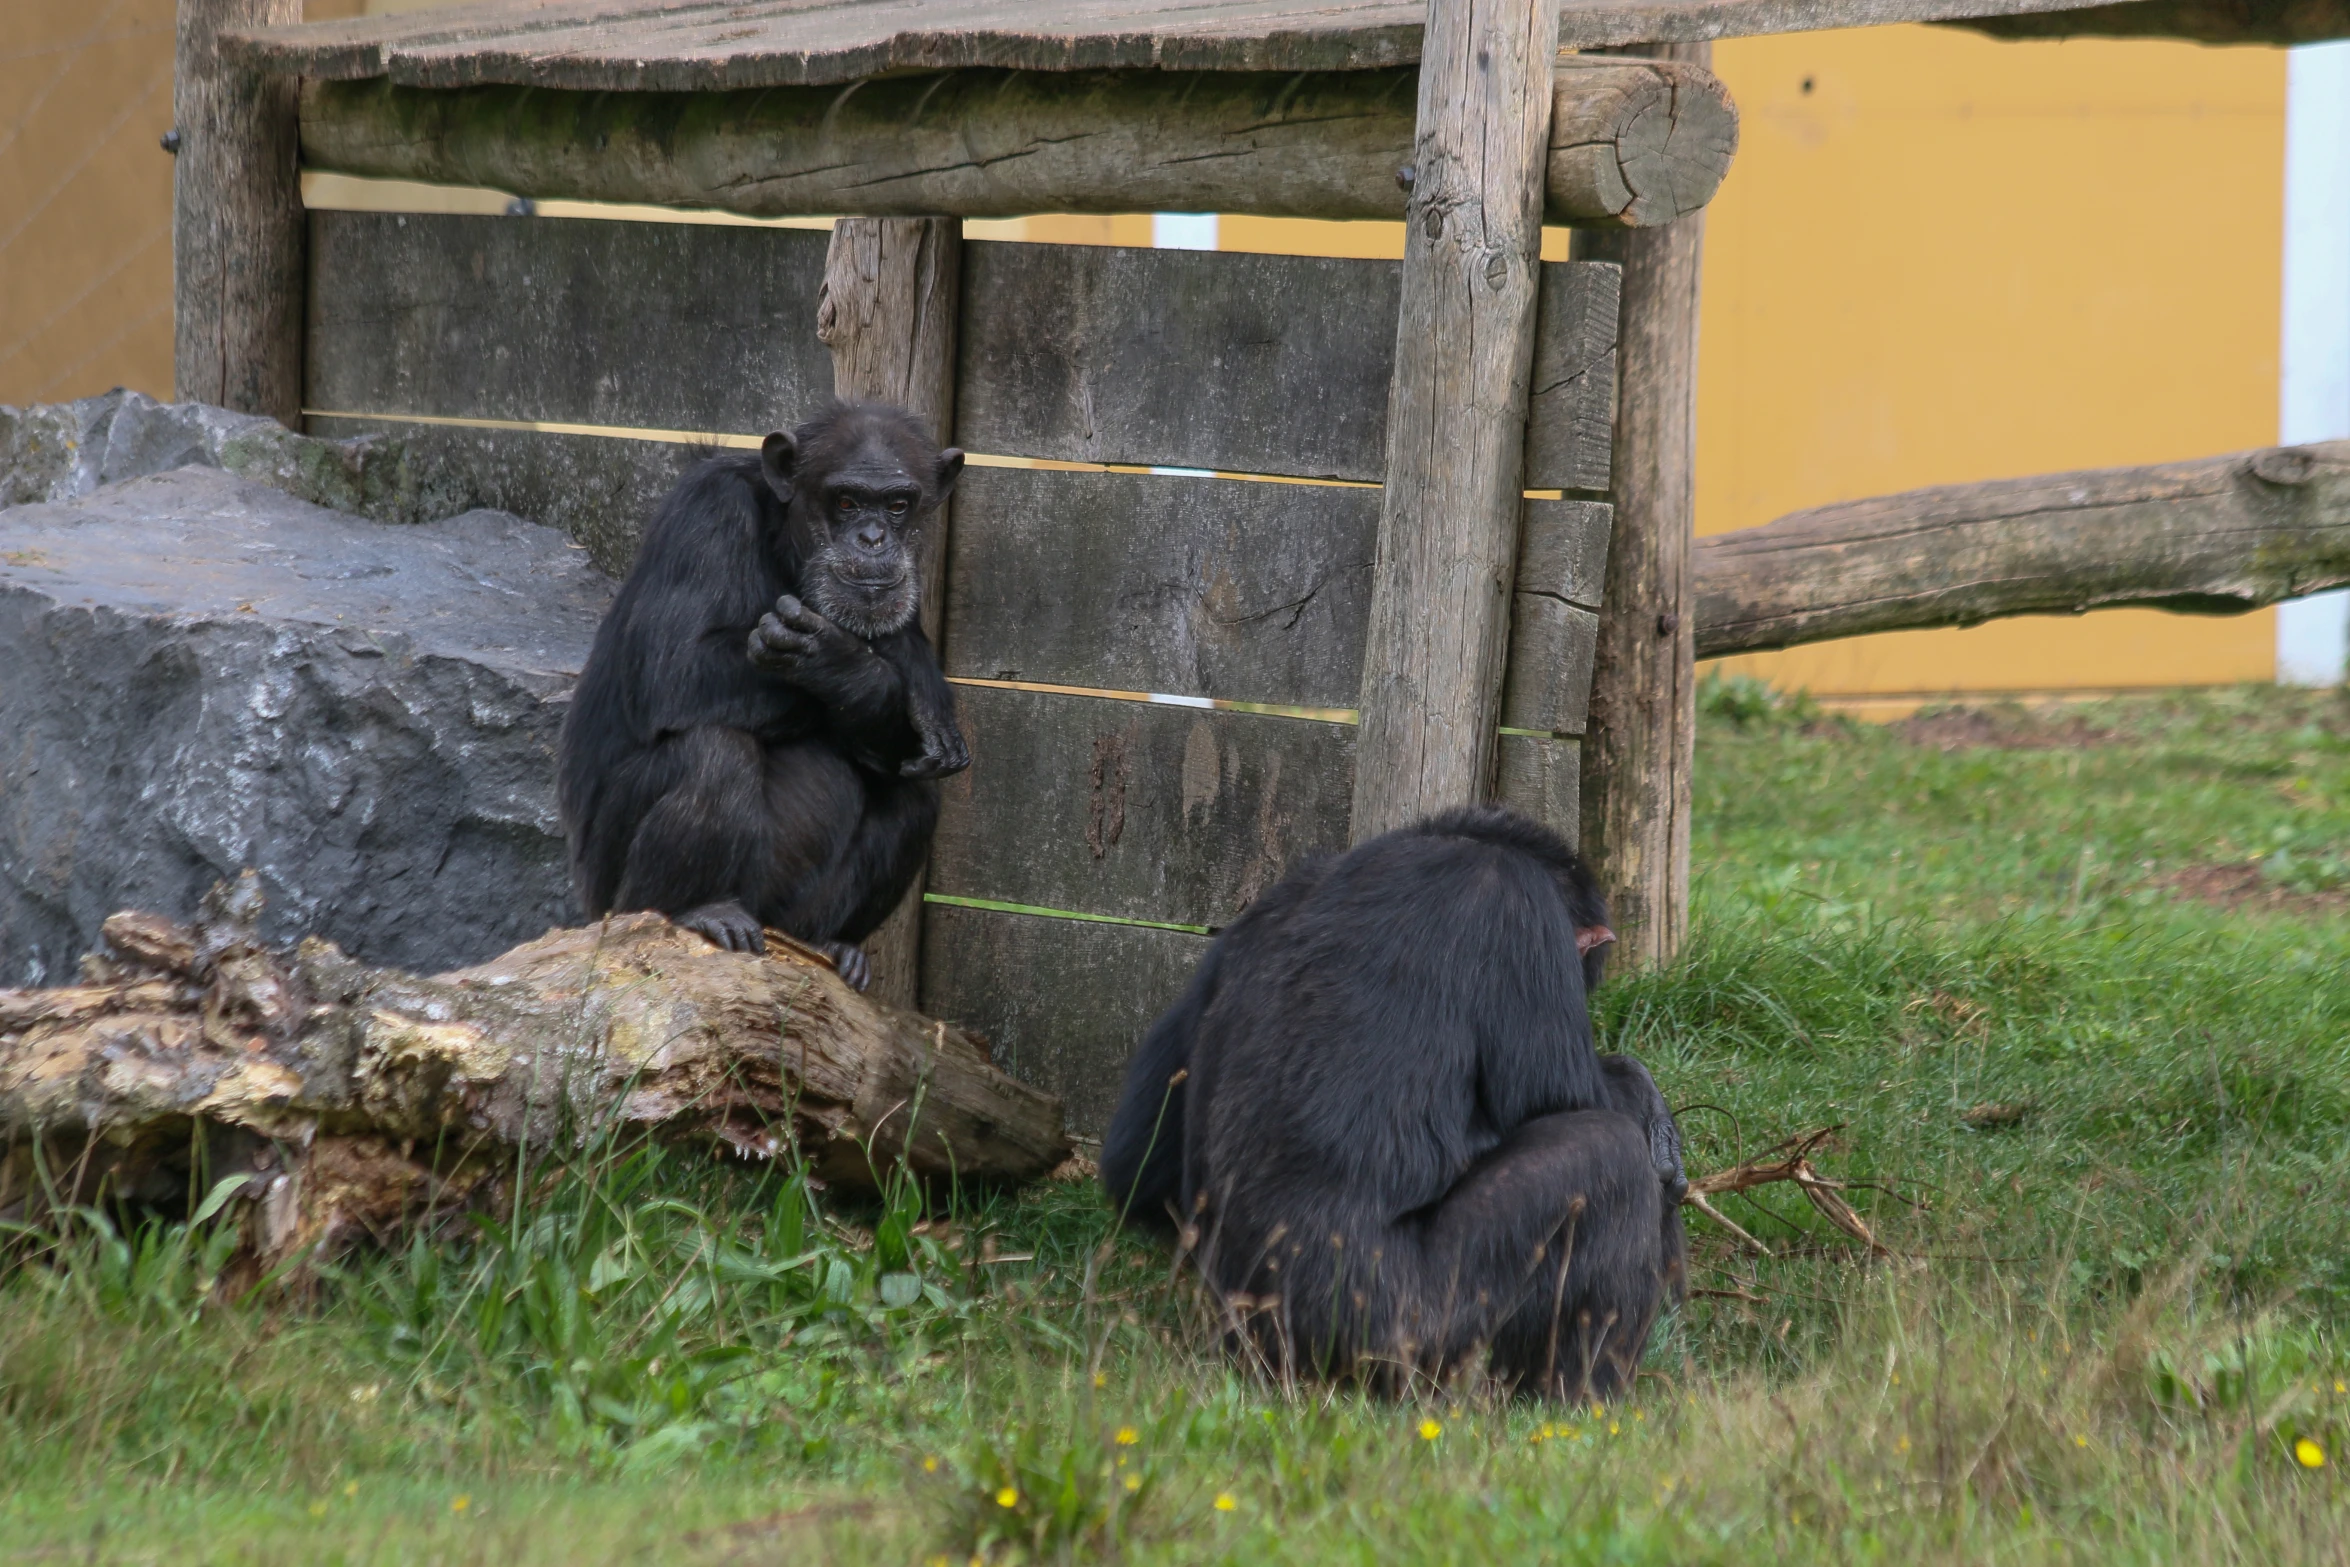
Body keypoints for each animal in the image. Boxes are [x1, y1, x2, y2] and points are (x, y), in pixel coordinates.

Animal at [554, 404, 968, 991]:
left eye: (897, 505)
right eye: (845, 501)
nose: (871, 539)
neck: (785, 542)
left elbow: (896, 750)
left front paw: (877, 670)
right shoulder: (707, 512)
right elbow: (676, 664)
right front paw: (855, 661)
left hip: (790, 917)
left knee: (912, 796)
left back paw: (836, 946)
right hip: (609, 904)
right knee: (713, 755)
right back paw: (697, 910)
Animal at [1104, 808, 1691, 1400]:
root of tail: (1267, 1354)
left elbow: (1138, 1161)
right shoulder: (1516, 907)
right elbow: (1565, 1098)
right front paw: (1645, 1102)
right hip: (1408, 1336)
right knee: (1605, 1156)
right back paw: (1585, 1400)